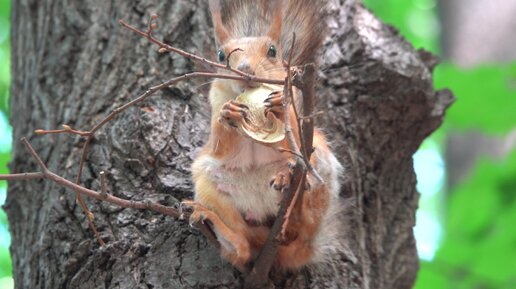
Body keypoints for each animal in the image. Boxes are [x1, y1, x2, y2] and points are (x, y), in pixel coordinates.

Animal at [181, 0, 342, 270]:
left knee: (300, 223)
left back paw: (291, 194)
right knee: (243, 248)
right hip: (208, 183)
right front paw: (228, 114)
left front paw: (279, 105)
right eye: (221, 55)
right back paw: (218, 225)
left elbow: (296, 137)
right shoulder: (215, 103)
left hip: (321, 173)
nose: (245, 70)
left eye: (272, 51)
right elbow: (218, 146)